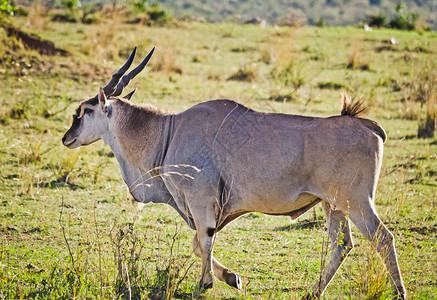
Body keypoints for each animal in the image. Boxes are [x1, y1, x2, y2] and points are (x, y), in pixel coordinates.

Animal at [61, 48, 406, 298]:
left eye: (86, 111)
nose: (67, 138)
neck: (168, 131)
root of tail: (369, 126)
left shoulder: (201, 202)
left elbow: (203, 241)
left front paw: (206, 284)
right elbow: (198, 244)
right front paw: (232, 277)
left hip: (356, 204)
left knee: (383, 238)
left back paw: (399, 292)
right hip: (333, 206)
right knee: (342, 246)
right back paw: (313, 292)